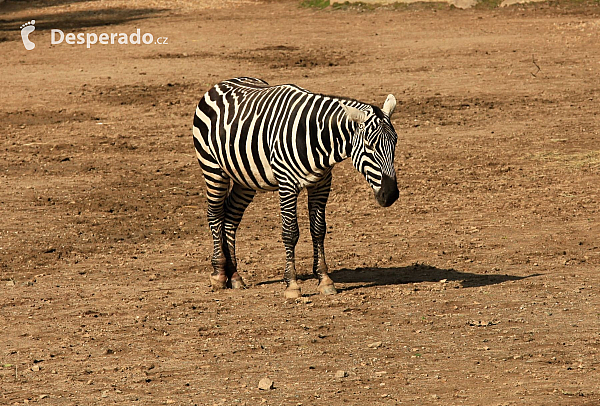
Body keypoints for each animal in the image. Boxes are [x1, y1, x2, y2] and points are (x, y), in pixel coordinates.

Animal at [192, 77, 398, 298]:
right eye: (369, 145)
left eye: (395, 143)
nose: (390, 195)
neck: (317, 138)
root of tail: (223, 82)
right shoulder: (287, 185)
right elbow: (290, 233)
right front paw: (292, 285)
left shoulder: (321, 184)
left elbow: (318, 230)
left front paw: (324, 280)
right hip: (213, 168)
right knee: (215, 214)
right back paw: (218, 274)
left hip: (245, 177)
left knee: (231, 217)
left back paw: (235, 276)